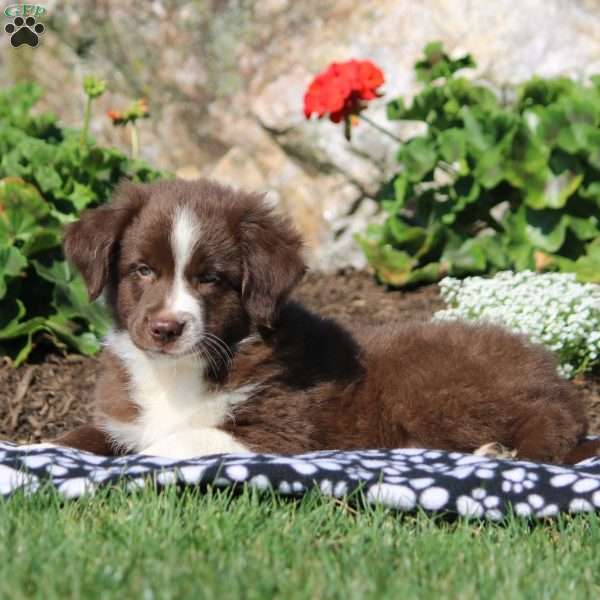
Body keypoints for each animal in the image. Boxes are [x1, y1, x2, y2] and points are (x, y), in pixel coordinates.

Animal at [55, 178, 596, 464]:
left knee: (549, 425)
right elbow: (85, 438)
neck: (179, 374)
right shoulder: (125, 417)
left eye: (210, 278)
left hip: (440, 386)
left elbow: (176, 440)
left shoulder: (280, 432)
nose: (166, 329)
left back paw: (497, 453)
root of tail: (551, 371)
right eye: (142, 270)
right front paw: (48, 445)